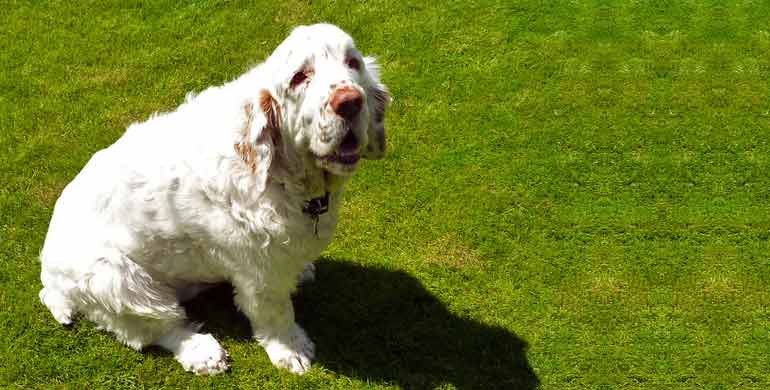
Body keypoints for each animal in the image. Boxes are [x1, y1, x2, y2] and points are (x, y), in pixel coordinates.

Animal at [36, 23, 388, 374]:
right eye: (300, 77)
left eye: (352, 63)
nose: (350, 102)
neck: (280, 172)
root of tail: (49, 278)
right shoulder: (259, 273)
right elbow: (275, 312)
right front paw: (291, 349)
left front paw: (301, 271)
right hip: (119, 281)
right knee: (154, 329)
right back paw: (202, 353)